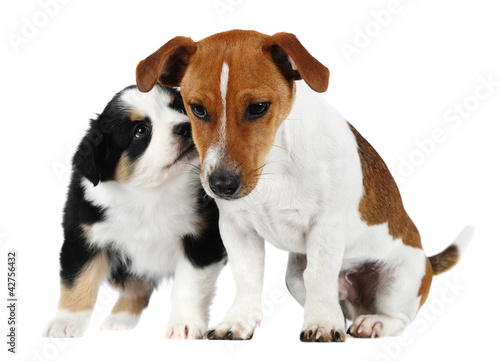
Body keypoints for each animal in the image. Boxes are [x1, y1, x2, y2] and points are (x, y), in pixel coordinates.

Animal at [43, 83, 227, 338]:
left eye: (180, 108)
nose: (184, 127)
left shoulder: (202, 237)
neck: (150, 194)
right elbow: (77, 281)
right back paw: (120, 318)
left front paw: (184, 324)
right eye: (140, 131)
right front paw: (64, 322)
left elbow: (190, 285)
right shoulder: (83, 236)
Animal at [136, 30, 472, 340]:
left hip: (399, 279)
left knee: (397, 316)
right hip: (296, 278)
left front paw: (321, 324)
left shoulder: (326, 225)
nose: (221, 184)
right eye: (197, 108)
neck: (274, 162)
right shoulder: (236, 228)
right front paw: (239, 320)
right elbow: (247, 278)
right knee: (334, 300)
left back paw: (373, 323)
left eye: (258, 107)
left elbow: (321, 275)